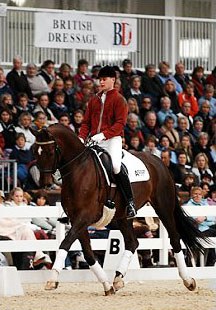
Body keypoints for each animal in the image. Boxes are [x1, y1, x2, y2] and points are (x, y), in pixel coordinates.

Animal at [31, 123, 207, 296]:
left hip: (163, 208)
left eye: (49, 151)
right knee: (132, 242)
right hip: (123, 216)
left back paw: (189, 281)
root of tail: (159, 162)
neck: (79, 170)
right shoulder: (77, 220)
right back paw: (117, 279)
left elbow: (65, 243)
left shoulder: (85, 217)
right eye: (35, 151)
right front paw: (106, 285)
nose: (45, 184)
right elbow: (87, 253)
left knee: (174, 239)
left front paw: (52, 279)